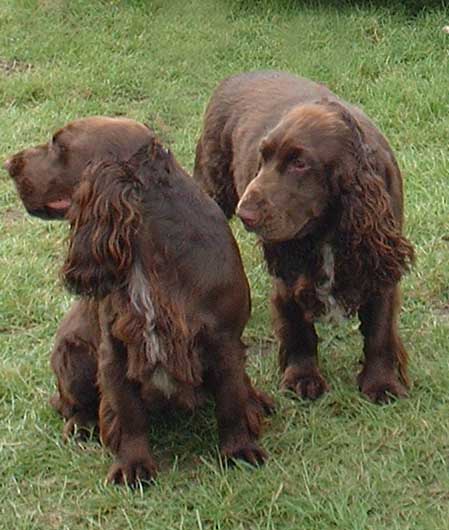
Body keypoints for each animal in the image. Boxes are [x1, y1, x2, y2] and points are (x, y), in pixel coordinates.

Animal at [60, 138, 272, 484]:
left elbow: (231, 399)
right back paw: (81, 424)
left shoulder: (224, 339)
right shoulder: (116, 351)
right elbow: (128, 412)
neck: (149, 248)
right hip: (71, 355)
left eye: (57, 147)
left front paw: (239, 450)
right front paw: (132, 465)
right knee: (69, 403)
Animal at [192, 70, 412, 400]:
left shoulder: (380, 260)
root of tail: (234, 77)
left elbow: (380, 330)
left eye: (300, 163)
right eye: (262, 157)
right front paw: (302, 378)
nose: (246, 214)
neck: (329, 228)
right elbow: (297, 328)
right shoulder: (289, 272)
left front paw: (382, 383)